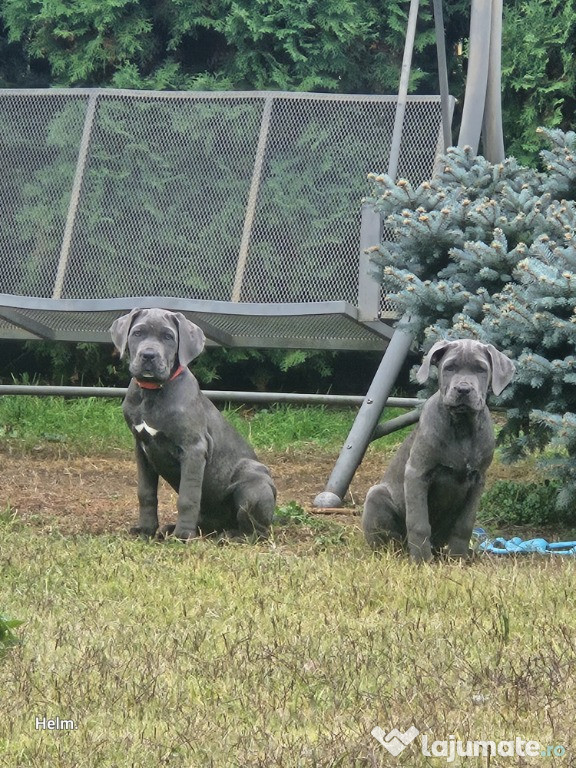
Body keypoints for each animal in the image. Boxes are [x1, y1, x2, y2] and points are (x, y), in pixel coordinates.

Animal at [111, 306, 278, 540]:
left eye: (168, 337)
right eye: (137, 333)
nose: (148, 355)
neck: (152, 393)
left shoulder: (194, 449)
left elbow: (188, 498)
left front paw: (182, 536)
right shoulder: (141, 449)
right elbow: (145, 493)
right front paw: (146, 529)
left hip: (253, 483)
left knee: (258, 530)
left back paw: (231, 536)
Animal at [362, 340, 516, 560]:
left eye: (481, 369)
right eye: (449, 367)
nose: (463, 389)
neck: (462, 425)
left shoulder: (478, 479)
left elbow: (465, 524)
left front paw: (458, 559)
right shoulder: (417, 474)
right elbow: (419, 524)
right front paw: (421, 561)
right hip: (376, 496)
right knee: (389, 541)